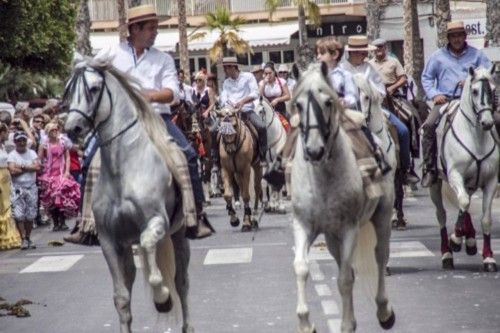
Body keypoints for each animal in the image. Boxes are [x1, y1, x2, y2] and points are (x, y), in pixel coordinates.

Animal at [63, 59, 195, 332]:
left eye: (94, 88)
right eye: (69, 90)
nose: (72, 128)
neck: (123, 168)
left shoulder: (157, 221)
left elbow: (151, 255)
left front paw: (162, 298)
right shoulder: (109, 240)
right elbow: (122, 298)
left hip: (178, 235)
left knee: (181, 282)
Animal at [292, 63, 396, 332]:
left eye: (329, 102)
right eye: (298, 105)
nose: (314, 150)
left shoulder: (350, 228)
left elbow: (344, 280)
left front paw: (347, 324)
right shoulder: (303, 226)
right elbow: (301, 268)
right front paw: (305, 322)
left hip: (382, 214)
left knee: (380, 255)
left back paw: (384, 311)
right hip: (331, 237)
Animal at [432, 66, 498, 272]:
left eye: (493, 90)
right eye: (475, 91)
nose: (487, 123)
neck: (476, 137)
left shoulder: (491, 181)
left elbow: (485, 219)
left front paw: (488, 257)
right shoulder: (455, 175)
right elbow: (462, 202)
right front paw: (455, 239)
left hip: (469, 182)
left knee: (466, 204)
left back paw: (469, 241)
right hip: (435, 184)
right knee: (442, 215)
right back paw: (447, 253)